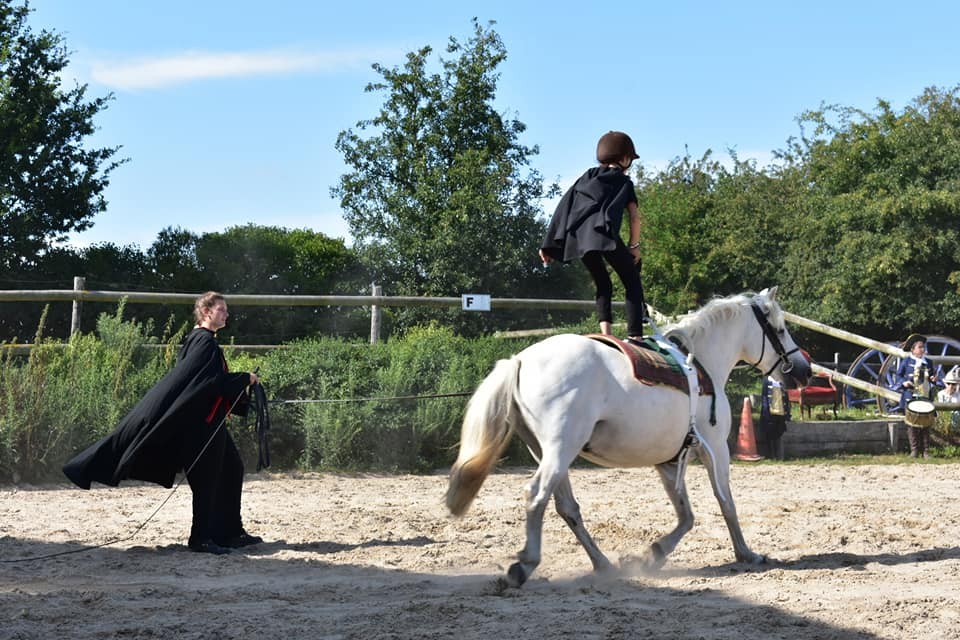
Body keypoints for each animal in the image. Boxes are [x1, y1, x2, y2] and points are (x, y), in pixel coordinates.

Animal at [446, 288, 808, 588]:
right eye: (779, 329)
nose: (803, 370)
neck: (702, 365)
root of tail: (520, 360)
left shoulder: (669, 460)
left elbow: (686, 515)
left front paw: (651, 555)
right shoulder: (716, 450)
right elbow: (726, 502)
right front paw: (746, 553)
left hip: (546, 452)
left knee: (567, 507)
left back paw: (603, 564)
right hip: (560, 450)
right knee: (537, 495)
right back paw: (525, 565)